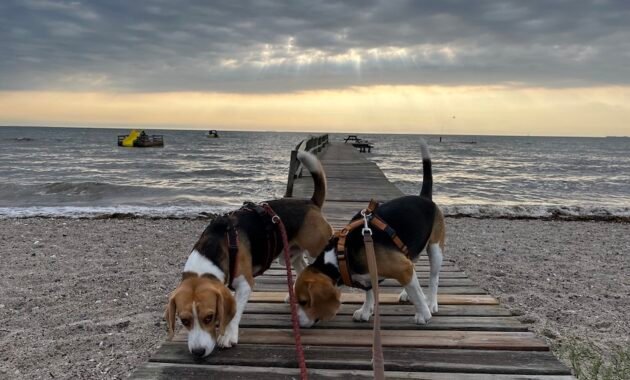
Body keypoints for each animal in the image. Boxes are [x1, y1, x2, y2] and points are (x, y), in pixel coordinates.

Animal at [165, 151, 334, 356]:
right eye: (184, 320)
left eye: (209, 317)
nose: (198, 352)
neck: (214, 248)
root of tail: (311, 203)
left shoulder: (245, 284)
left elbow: (235, 313)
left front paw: (228, 336)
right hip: (290, 254)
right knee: (302, 267)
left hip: (316, 250)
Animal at [296, 140, 444, 326]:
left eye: (304, 301)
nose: (296, 321)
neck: (342, 253)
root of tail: (424, 197)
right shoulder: (375, 272)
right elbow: (369, 292)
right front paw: (366, 310)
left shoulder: (402, 268)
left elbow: (417, 294)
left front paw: (423, 313)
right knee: (414, 271)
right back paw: (406, 294)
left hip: (435, 249)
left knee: (434, 278)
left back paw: (430, 303)